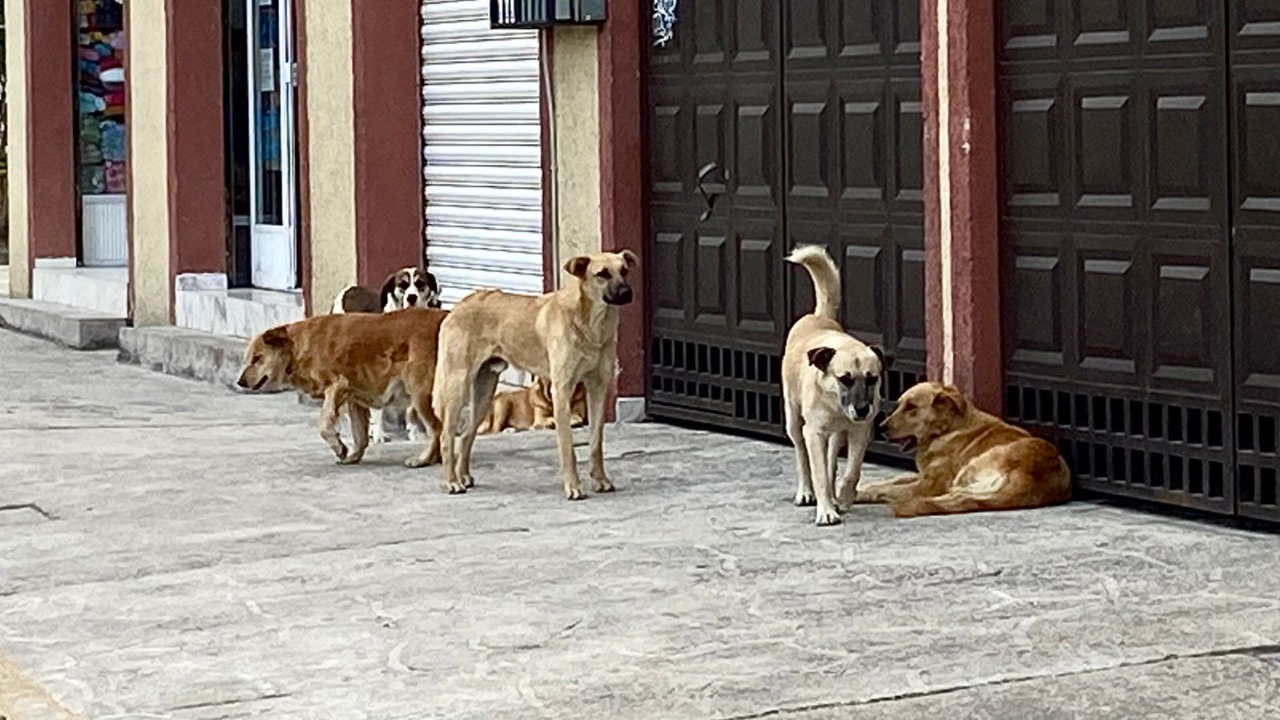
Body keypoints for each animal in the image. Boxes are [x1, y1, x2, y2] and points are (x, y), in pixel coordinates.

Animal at [238, 307, 448, 466]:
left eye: (257, 358)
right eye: (249, 359)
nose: (240, 382)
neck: (299, 347)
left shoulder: (336, 385)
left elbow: (324, 425)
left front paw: (339, 447)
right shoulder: (355, 399)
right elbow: (359, 434)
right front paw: (354, 456)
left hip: (420, 394)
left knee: (437, 429)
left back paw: (424, 459)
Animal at [332, 263, 442, 443]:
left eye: (420, 283)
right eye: (402, 285)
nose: (411, 297)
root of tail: (349, 289)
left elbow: (411, 408)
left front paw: (414, 433)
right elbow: (378, 410)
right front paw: (379, 434)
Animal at [432, 249, 637, 497]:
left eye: (624, 271)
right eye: (603, 274)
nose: (627, 293)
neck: (591, 324)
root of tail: (459, 305)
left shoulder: (598, 388)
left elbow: (596, 442)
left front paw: (600, 480)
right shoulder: (562, 391)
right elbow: (568, 448)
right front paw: (573, 486)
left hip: (484, 394)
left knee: (466, 435)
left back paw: (463, 477)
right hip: (457, 384)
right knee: (447, 437)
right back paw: (451, 481)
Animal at [778, 243, 890, 525]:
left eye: (872, 378)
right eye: (844, 379)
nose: (861, 409)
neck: (835, 405)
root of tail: (817, 316)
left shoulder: (860, 431)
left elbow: (851, 470)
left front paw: (844, 497)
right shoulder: (814, 433)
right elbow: (816, 470)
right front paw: (826, 510)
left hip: (836, 435)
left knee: (831, 461)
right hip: (793, 419)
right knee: (802, 455)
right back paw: (806, 492)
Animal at [860, 381, 1070, 515]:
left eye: (911, 407)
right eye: (899, 405)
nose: (881, 427)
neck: (947, 428)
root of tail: (1029, 476)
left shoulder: (929, 484)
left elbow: (888, 488)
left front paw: (861, 493)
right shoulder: (923, 475)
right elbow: (891, 481)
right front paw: (863, 487)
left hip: (971, 468)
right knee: (961, 498)